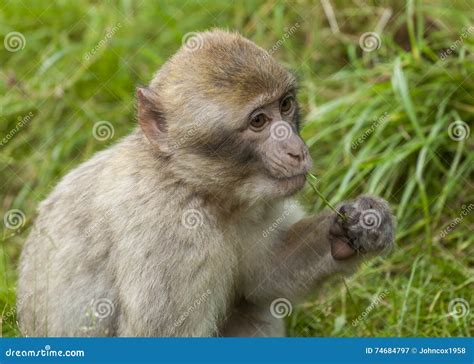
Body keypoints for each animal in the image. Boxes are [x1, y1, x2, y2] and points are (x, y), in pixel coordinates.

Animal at [17, 29, 396, 336]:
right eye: (259, 121)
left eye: (286, 106)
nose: (296, 150)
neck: (191, 184)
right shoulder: (173, 238)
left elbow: (263, 277)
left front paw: (360, 224)